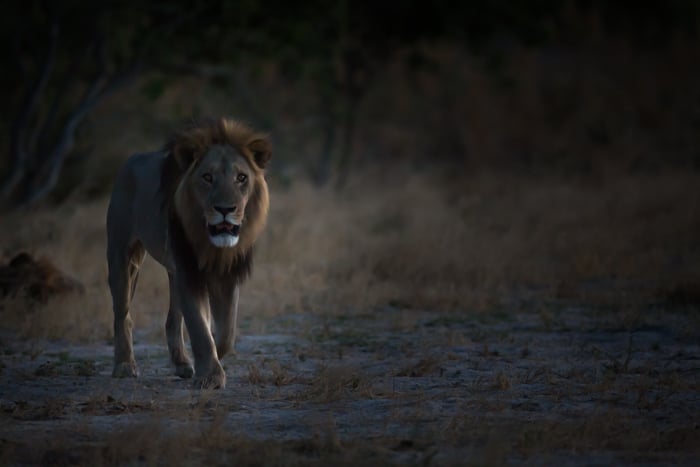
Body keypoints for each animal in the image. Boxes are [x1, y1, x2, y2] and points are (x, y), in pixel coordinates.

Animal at [106, 117, 271, 389]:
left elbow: (226, 333)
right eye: (207, 177)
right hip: (123, 257)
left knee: (173, 319)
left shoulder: (226, 276)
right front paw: (211, 376)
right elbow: (199, 327)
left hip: (172, 272)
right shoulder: (189, 271)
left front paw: (210, 357)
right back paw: (124, 365)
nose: (225, 209)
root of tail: (132, 159)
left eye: (241, 178)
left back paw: (182, 363)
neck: (211, 245)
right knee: (123, 314)